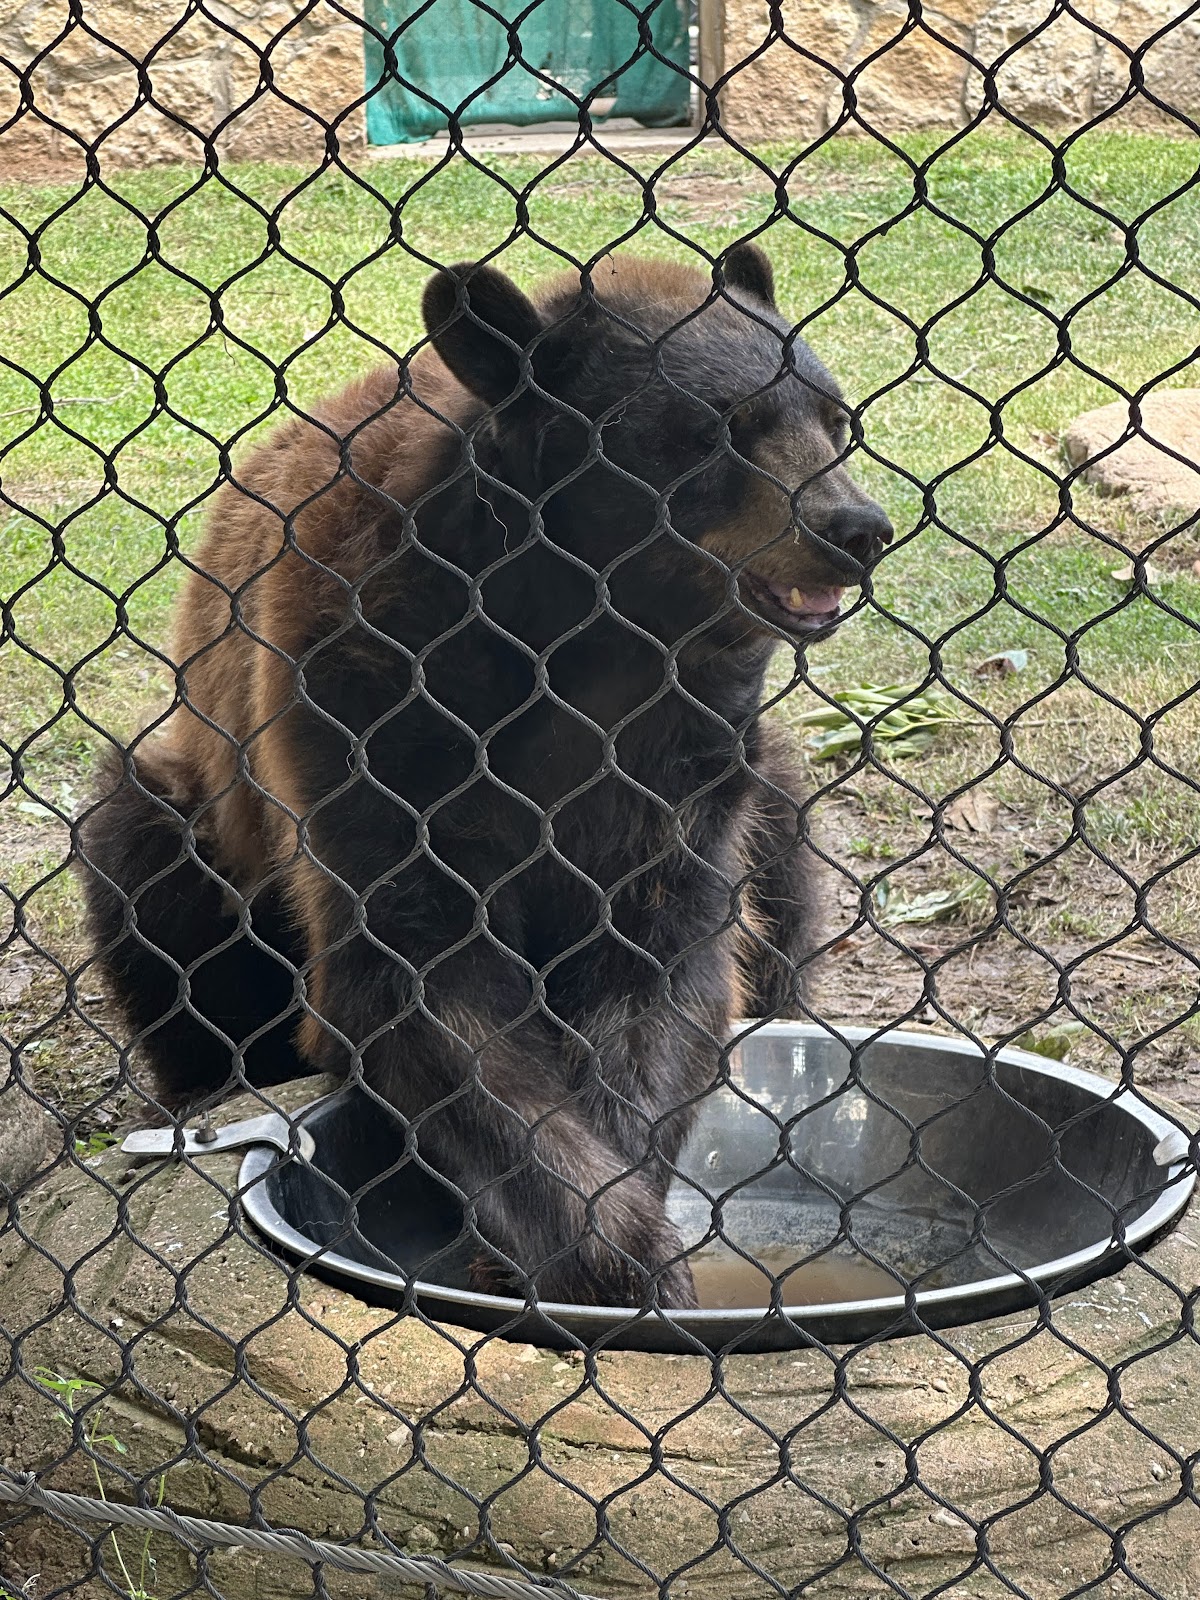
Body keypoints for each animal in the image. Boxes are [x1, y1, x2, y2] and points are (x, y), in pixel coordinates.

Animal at [79, 244, 892, 1310]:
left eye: (832, 415)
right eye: (721, 427)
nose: (857, 526)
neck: (589, 633)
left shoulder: (684, 746)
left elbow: (662, 962)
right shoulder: (374, 700)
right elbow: (419, 971)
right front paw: (614, 1256)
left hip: (769, 788)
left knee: (785, 858)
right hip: (205, 806)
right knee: (150, 871)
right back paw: (207, 1074)